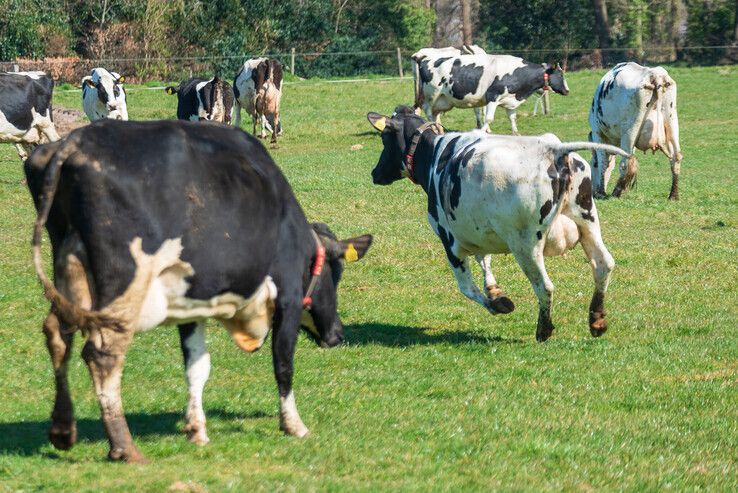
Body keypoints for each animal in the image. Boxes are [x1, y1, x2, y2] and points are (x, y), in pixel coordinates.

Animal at [25, 119, 370, 462]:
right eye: (335, 273)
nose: (337, 334)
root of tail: (73, 142)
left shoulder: (191, 303)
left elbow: (197, 367)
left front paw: (197, 430)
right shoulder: (288, 296)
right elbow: (283, 362)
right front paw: (294, 425)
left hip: (69, 268)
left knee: (58, 334)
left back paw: (63, 430)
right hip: (123, 285)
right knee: (102, 353)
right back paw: (124, 447)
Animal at [364, 108, 628, 342]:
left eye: (384, 139)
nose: (375, 173)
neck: (435, 155)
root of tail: (552, 149)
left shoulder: (449, 240)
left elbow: (467, 287)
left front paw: (498, 304)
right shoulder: (477, 228)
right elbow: (484, 259)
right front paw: (494, 290)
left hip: (525, 244)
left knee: (544, 285)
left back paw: (543, 330)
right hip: (588, 222)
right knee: (603, 265)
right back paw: (597, 320)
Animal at [414, 54, 568, 133]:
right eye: (560, 75)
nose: (567, 90)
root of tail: (425, 59)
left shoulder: (510, 101)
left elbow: (513, 118)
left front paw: (516, 134)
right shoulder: (492, 97)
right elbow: (488, 119)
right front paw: (483, 132)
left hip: (443, 100)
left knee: (435, 113)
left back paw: (439, 130)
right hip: (431, 94)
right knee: (427, 110)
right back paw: (433, 127)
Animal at [584, 62, 680, 200]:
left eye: (593, 164)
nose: (592, 191)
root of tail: (654, 75)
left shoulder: (598, 132)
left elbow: (603, 162)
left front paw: (601, 192)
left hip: (629, 130)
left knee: (626, 162)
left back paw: (616, 192)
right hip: (671, 121)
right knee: (676, 157)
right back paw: (673, 195)